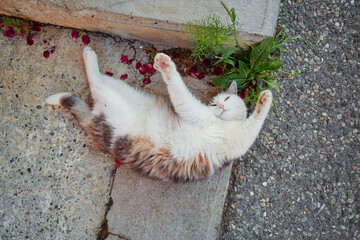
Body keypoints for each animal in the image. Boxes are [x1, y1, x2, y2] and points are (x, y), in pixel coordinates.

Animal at [45, 46, 272, 182]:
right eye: (215, 103)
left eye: (226, 100)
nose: (221, 108)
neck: (222, 123)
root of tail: (95, 116)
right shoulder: (196, 113)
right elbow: (180, 91)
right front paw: (166, 65)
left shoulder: (237, 140)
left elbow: (255, 122)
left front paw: (265, 99)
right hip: (119, 95)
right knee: (96, 81)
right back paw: (89, 54)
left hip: (116, 98)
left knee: (97, 82)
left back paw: (89, 55)